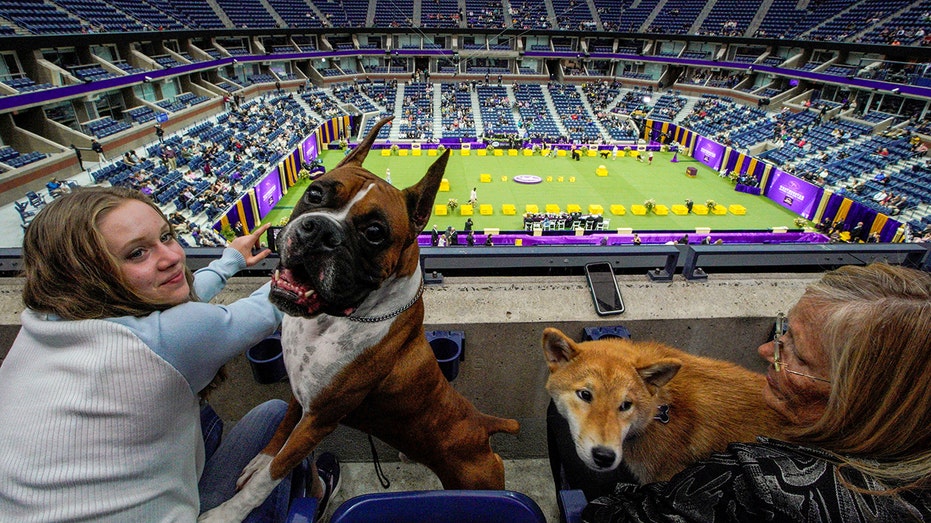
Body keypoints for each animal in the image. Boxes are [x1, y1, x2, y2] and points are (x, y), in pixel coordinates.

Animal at [201, 116, 520, 520]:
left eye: (374, 232)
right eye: (315, 194)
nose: (319, 231)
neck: (332, 320)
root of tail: (482, 424)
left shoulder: (318, 420)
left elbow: (274, 473)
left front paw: (228, 512)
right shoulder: (300, 396)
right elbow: (280, 434)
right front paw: (260, 458)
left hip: (476, 480)